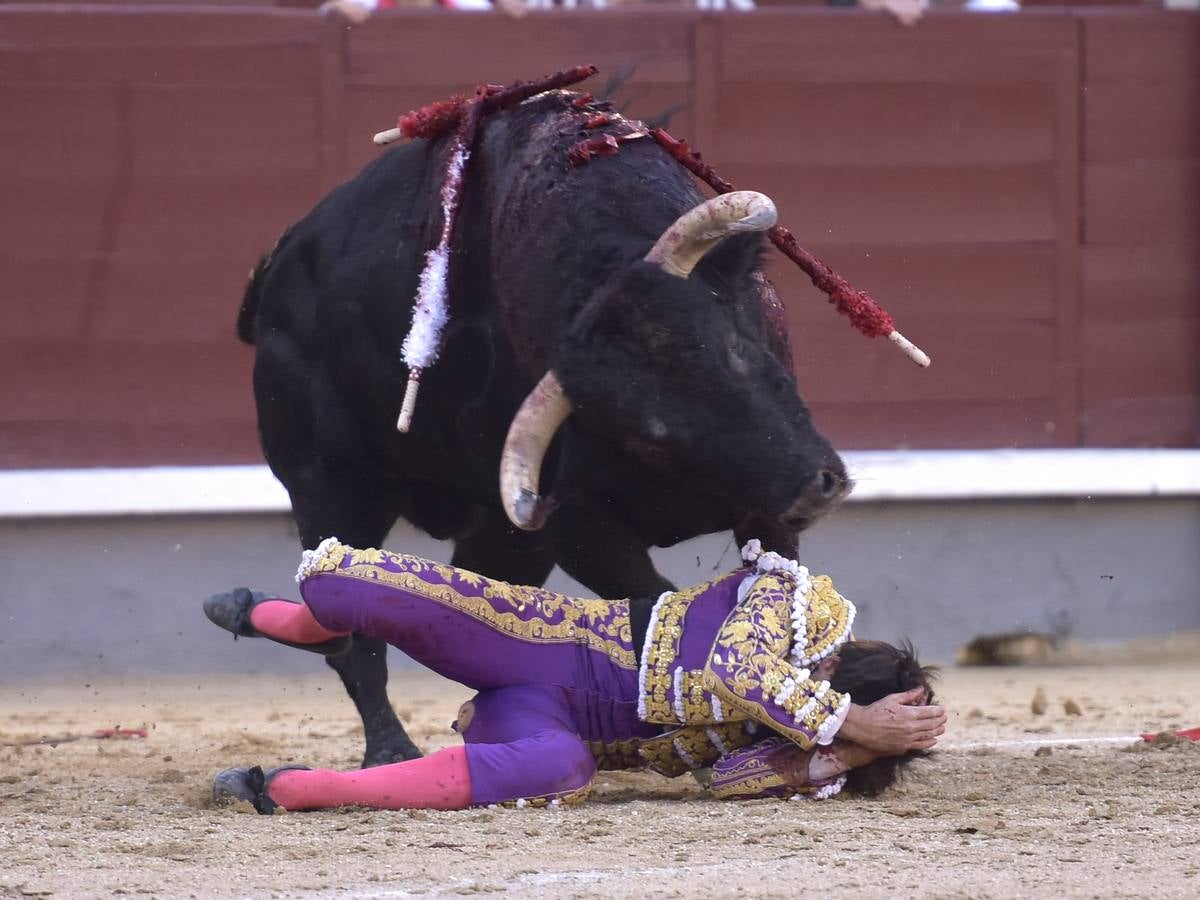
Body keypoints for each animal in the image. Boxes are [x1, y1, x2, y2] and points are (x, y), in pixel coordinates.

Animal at [236, 91, 854, 768]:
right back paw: (393, 751)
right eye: (648, 432)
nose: (815, 488)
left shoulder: (762, 504)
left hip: (502, 537)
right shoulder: (575, 527)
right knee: (353, 633)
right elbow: (650, 603)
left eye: (737, 350)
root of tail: (275, 271)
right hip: (331, 491)